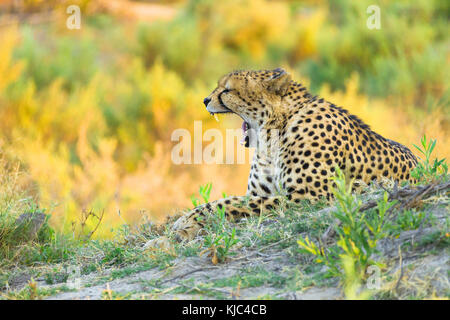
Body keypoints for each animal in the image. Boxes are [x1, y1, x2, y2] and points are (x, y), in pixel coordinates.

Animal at [171, 69, 416, 241]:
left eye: (227, 90)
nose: (205, 100)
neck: (272, 136)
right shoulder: (266, 192)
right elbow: (236, 200)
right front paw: (183, 223)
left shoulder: (308, 198)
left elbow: (230, 202)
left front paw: (187, 221)